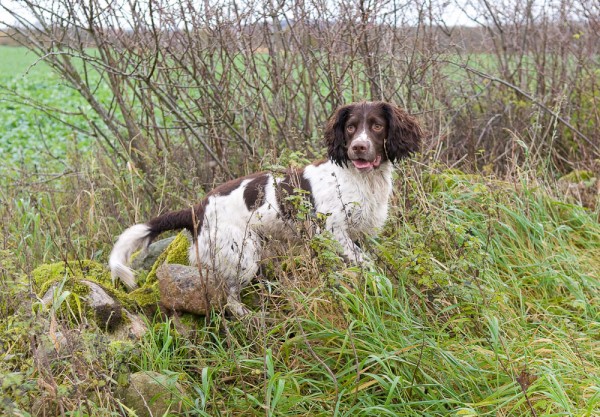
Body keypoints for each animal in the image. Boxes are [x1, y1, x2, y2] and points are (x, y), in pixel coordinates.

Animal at [111, 101, 422, 316]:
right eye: (350, 127)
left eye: (377, 126)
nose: (358, 147)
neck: (358, 178)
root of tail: (197, 208)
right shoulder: (333, 232)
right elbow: (365, 263)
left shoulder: (361, 234)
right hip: (243, 253)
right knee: (229, 296)